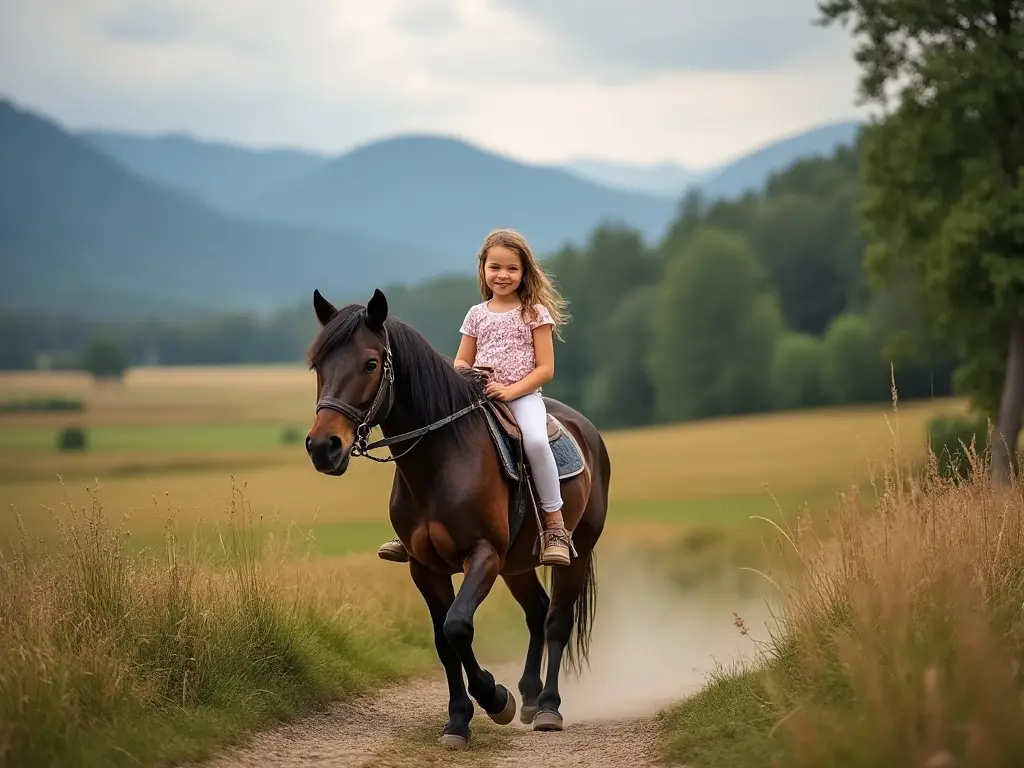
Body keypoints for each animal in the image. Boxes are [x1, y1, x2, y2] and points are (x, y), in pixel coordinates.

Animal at [303, 290, 606, 753]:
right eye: (319, 365)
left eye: (370, 364)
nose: (324, 447)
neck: (443, 457)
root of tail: (588, 431)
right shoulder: (425, 567)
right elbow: (443, 641)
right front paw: (459, 721)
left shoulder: (483, 555)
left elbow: (458, 626)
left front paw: (495, 699)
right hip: (516, 564)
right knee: (536, 612)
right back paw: (530, 697)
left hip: (575, 553)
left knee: (556, 620)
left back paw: (548, 708)